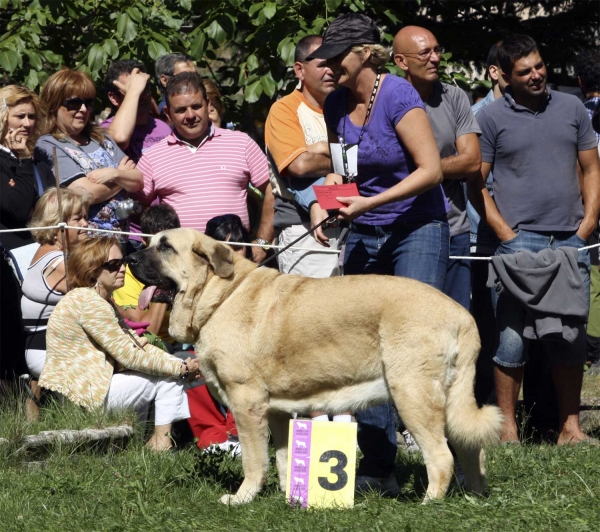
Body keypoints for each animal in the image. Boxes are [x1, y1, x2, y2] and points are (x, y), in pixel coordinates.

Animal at [129, 229, 504, 502]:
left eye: (165, 246)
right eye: (149, 241)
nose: (129, 256)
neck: (220, 294)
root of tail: (463, 315)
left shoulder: (246, 402)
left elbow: (253, 458)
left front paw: (242, 497)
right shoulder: (276, 411)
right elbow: (282, 458)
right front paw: (289, 496)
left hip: (412, 394)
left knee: (441, 456)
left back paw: (429, 504)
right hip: (449, 397)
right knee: (472, 450)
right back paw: (473, 497)